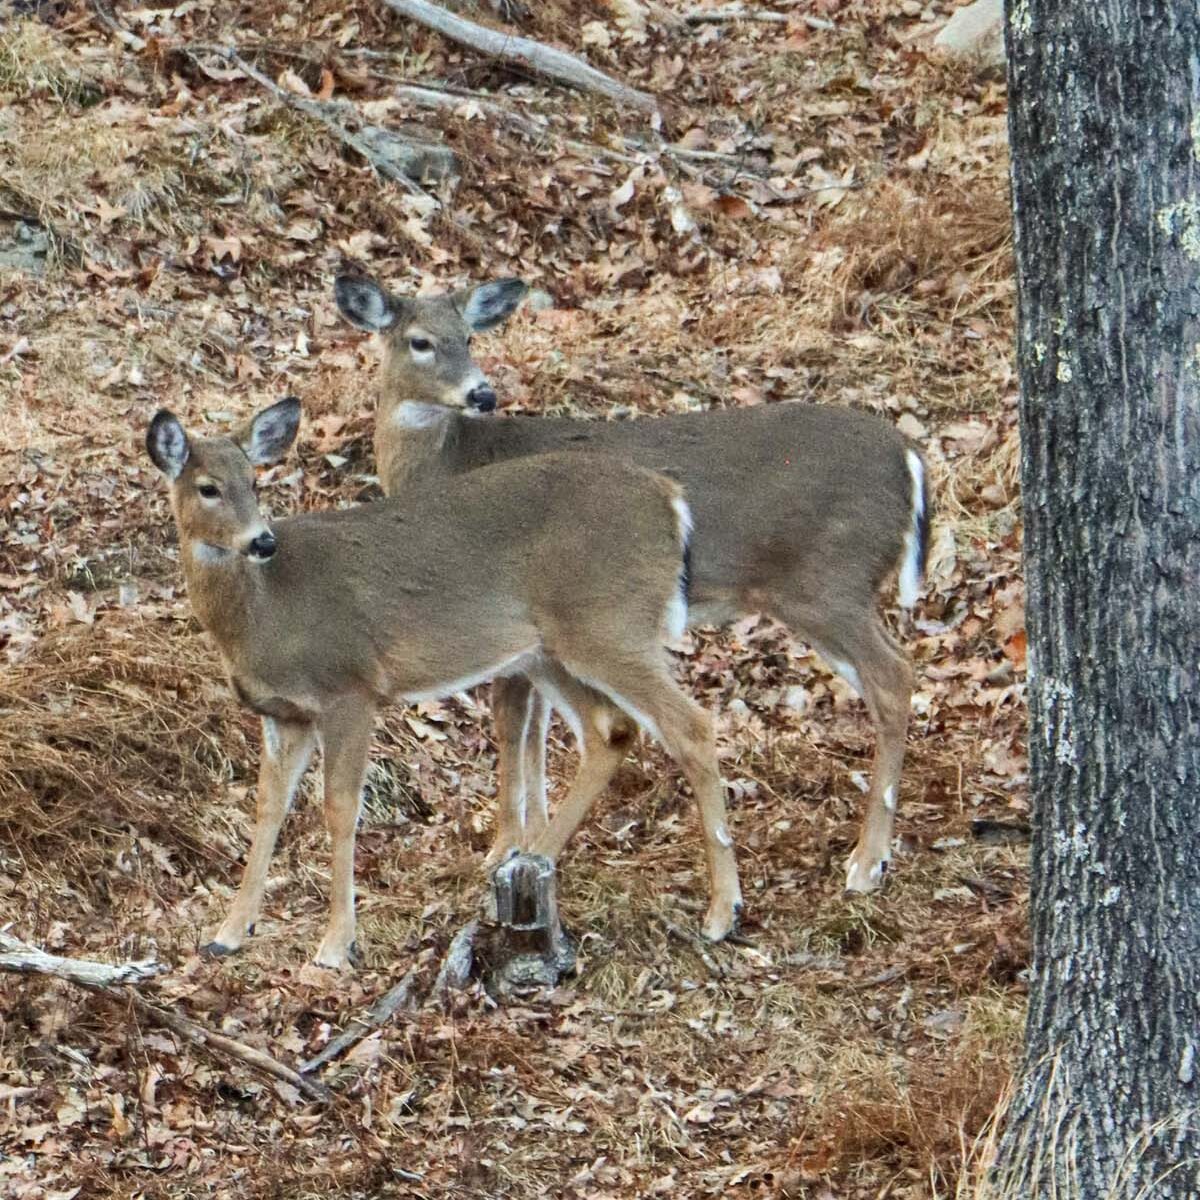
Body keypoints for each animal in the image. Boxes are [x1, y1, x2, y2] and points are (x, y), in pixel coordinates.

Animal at [148, 398, 739, 969]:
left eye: (254, 482)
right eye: (208, 487)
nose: (262, 541)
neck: (265, 612)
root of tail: (672, 501)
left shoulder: (350, 688)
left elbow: (340, 810)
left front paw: (336, 945)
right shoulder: (284, 713)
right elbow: (269, 807)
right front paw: (227, 934)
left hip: (610, 624)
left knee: (691, 724)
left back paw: (721, 911)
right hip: (551, 649)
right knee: (610, 728)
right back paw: (532, 859)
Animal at [333, 270, 931, 892]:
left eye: (470, 337)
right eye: (420, 341)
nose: (482, 394)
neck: (448, 463)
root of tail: (911, 454)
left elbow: (511, 723)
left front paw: (504, 847)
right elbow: (538, 727)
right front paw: (532, 844)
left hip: (828, 584)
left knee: (892, 677)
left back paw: (867, 861)